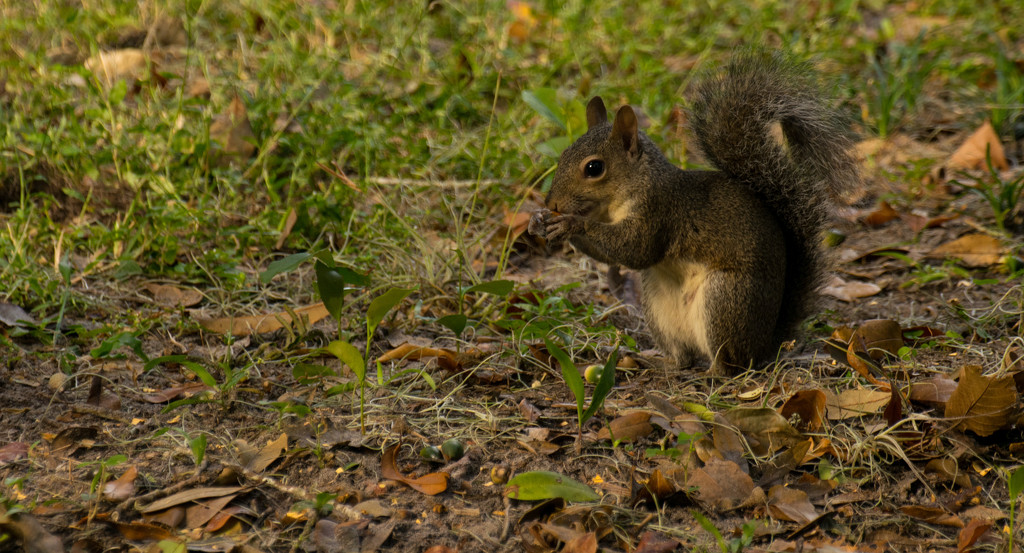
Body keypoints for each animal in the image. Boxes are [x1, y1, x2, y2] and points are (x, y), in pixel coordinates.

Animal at [532, 51, 860, 372]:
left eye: (594, 168)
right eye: (563, 154)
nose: (552, 203)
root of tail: (765, 345)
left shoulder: (660, 211)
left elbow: (635, 249)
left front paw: (571, 224)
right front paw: (539, 223)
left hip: (725, 299)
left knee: (728, 363)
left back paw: (714, 373)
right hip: (657, 304)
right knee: (684, 357)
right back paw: (658, 362)